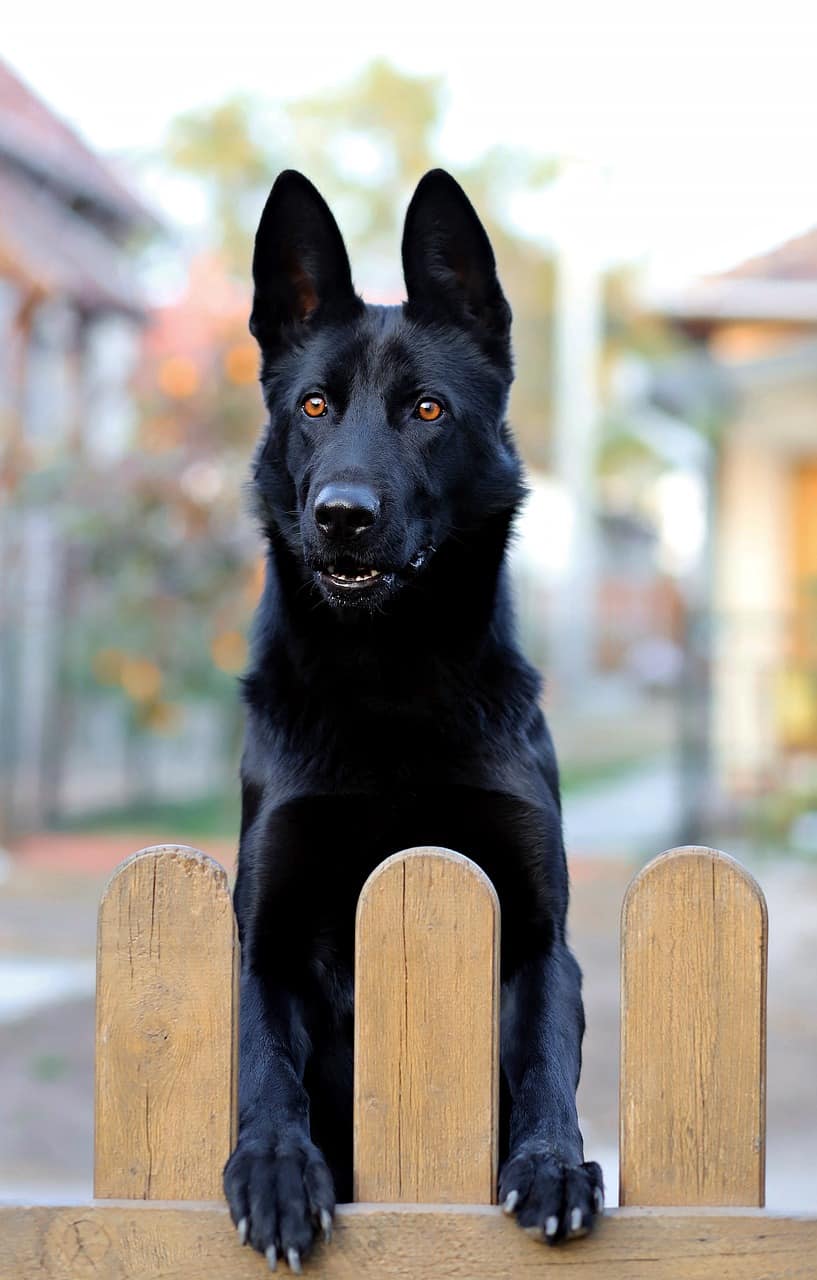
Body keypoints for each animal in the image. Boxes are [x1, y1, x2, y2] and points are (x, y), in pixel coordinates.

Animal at [222, 167, 601, 1269]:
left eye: (426, 409)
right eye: (314, 405)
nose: (342, 515)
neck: (386, 679)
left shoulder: (537, 937)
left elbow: (545, 1060)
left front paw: (551, 1164)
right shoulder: (265, 938)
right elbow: (263, 1060)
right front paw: (275, 1167)